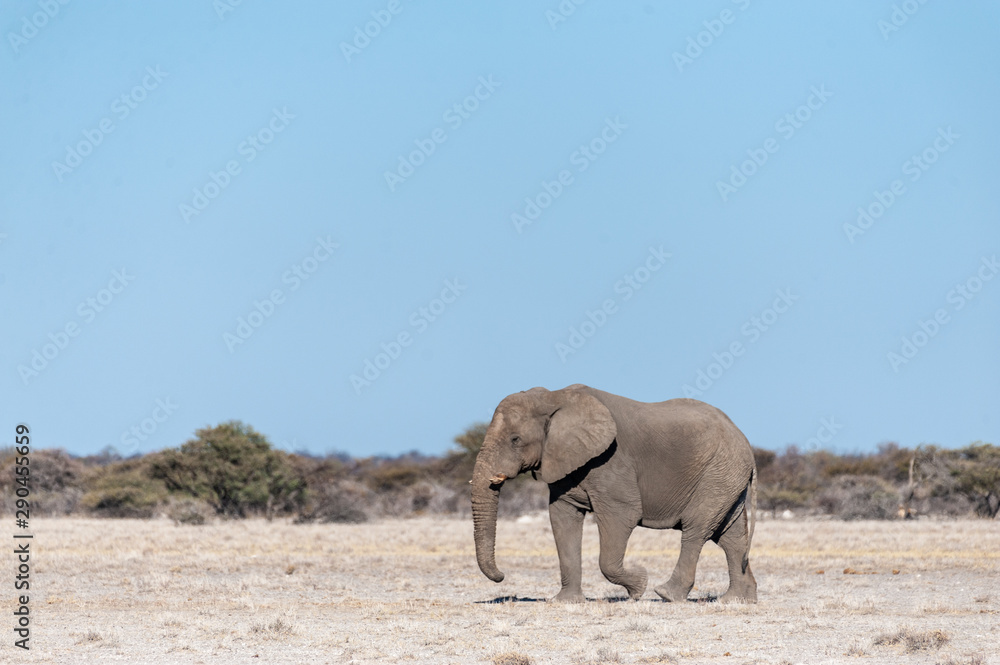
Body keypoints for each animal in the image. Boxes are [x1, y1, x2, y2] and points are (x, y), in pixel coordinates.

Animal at [471, 384, 757, 603]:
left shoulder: (611, 461)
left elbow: (623, 516)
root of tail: (745, 441)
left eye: (515, 440)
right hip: (727, 477)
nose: (502, 576)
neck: (555, 397)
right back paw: (737, 600)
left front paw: (638, 586)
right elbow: (562, 519)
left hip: (718, 472)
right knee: (731, 537)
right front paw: (565, 602)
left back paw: (666, 594)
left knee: (696, 530)